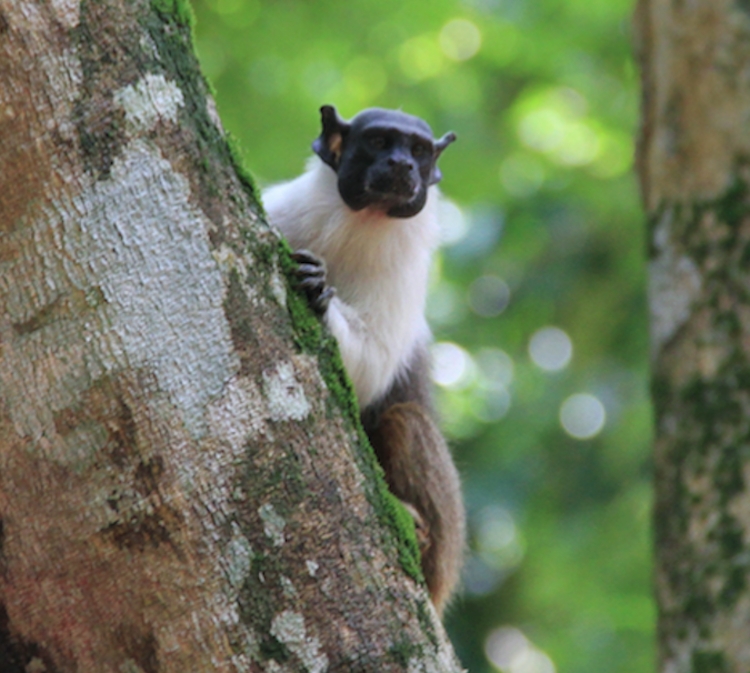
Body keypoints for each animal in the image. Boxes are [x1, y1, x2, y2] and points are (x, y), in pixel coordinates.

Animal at [262, 105, 464, 616]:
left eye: (418, 151)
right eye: (378, 143)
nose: (401, 165)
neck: (361, 224)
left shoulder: (406, 271)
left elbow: (371, 368)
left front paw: (319, 293)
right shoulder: (281, 213)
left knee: (406, 420)